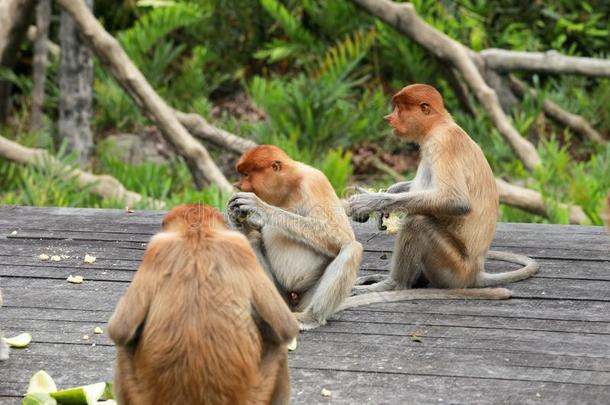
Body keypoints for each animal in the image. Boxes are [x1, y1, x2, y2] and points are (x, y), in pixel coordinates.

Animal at [227, 145, 360, 328]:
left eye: (246, 175)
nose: (237, 185)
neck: (288, 188)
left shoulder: (314, 182)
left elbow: (340, 233)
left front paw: (259, 207)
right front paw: (235, 217)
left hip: (306, 299)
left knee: (352, 247)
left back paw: (310, 317)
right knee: (251, 242)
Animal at [342, 83, 536, 304]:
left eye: (399, 108)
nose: (388, 118)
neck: (438, 125)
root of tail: (476, 272)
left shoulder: (442, 143)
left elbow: (457, 201)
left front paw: (369, 201)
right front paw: (391, 193)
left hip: (452, 269)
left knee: (418, 223)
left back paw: (392, 284)